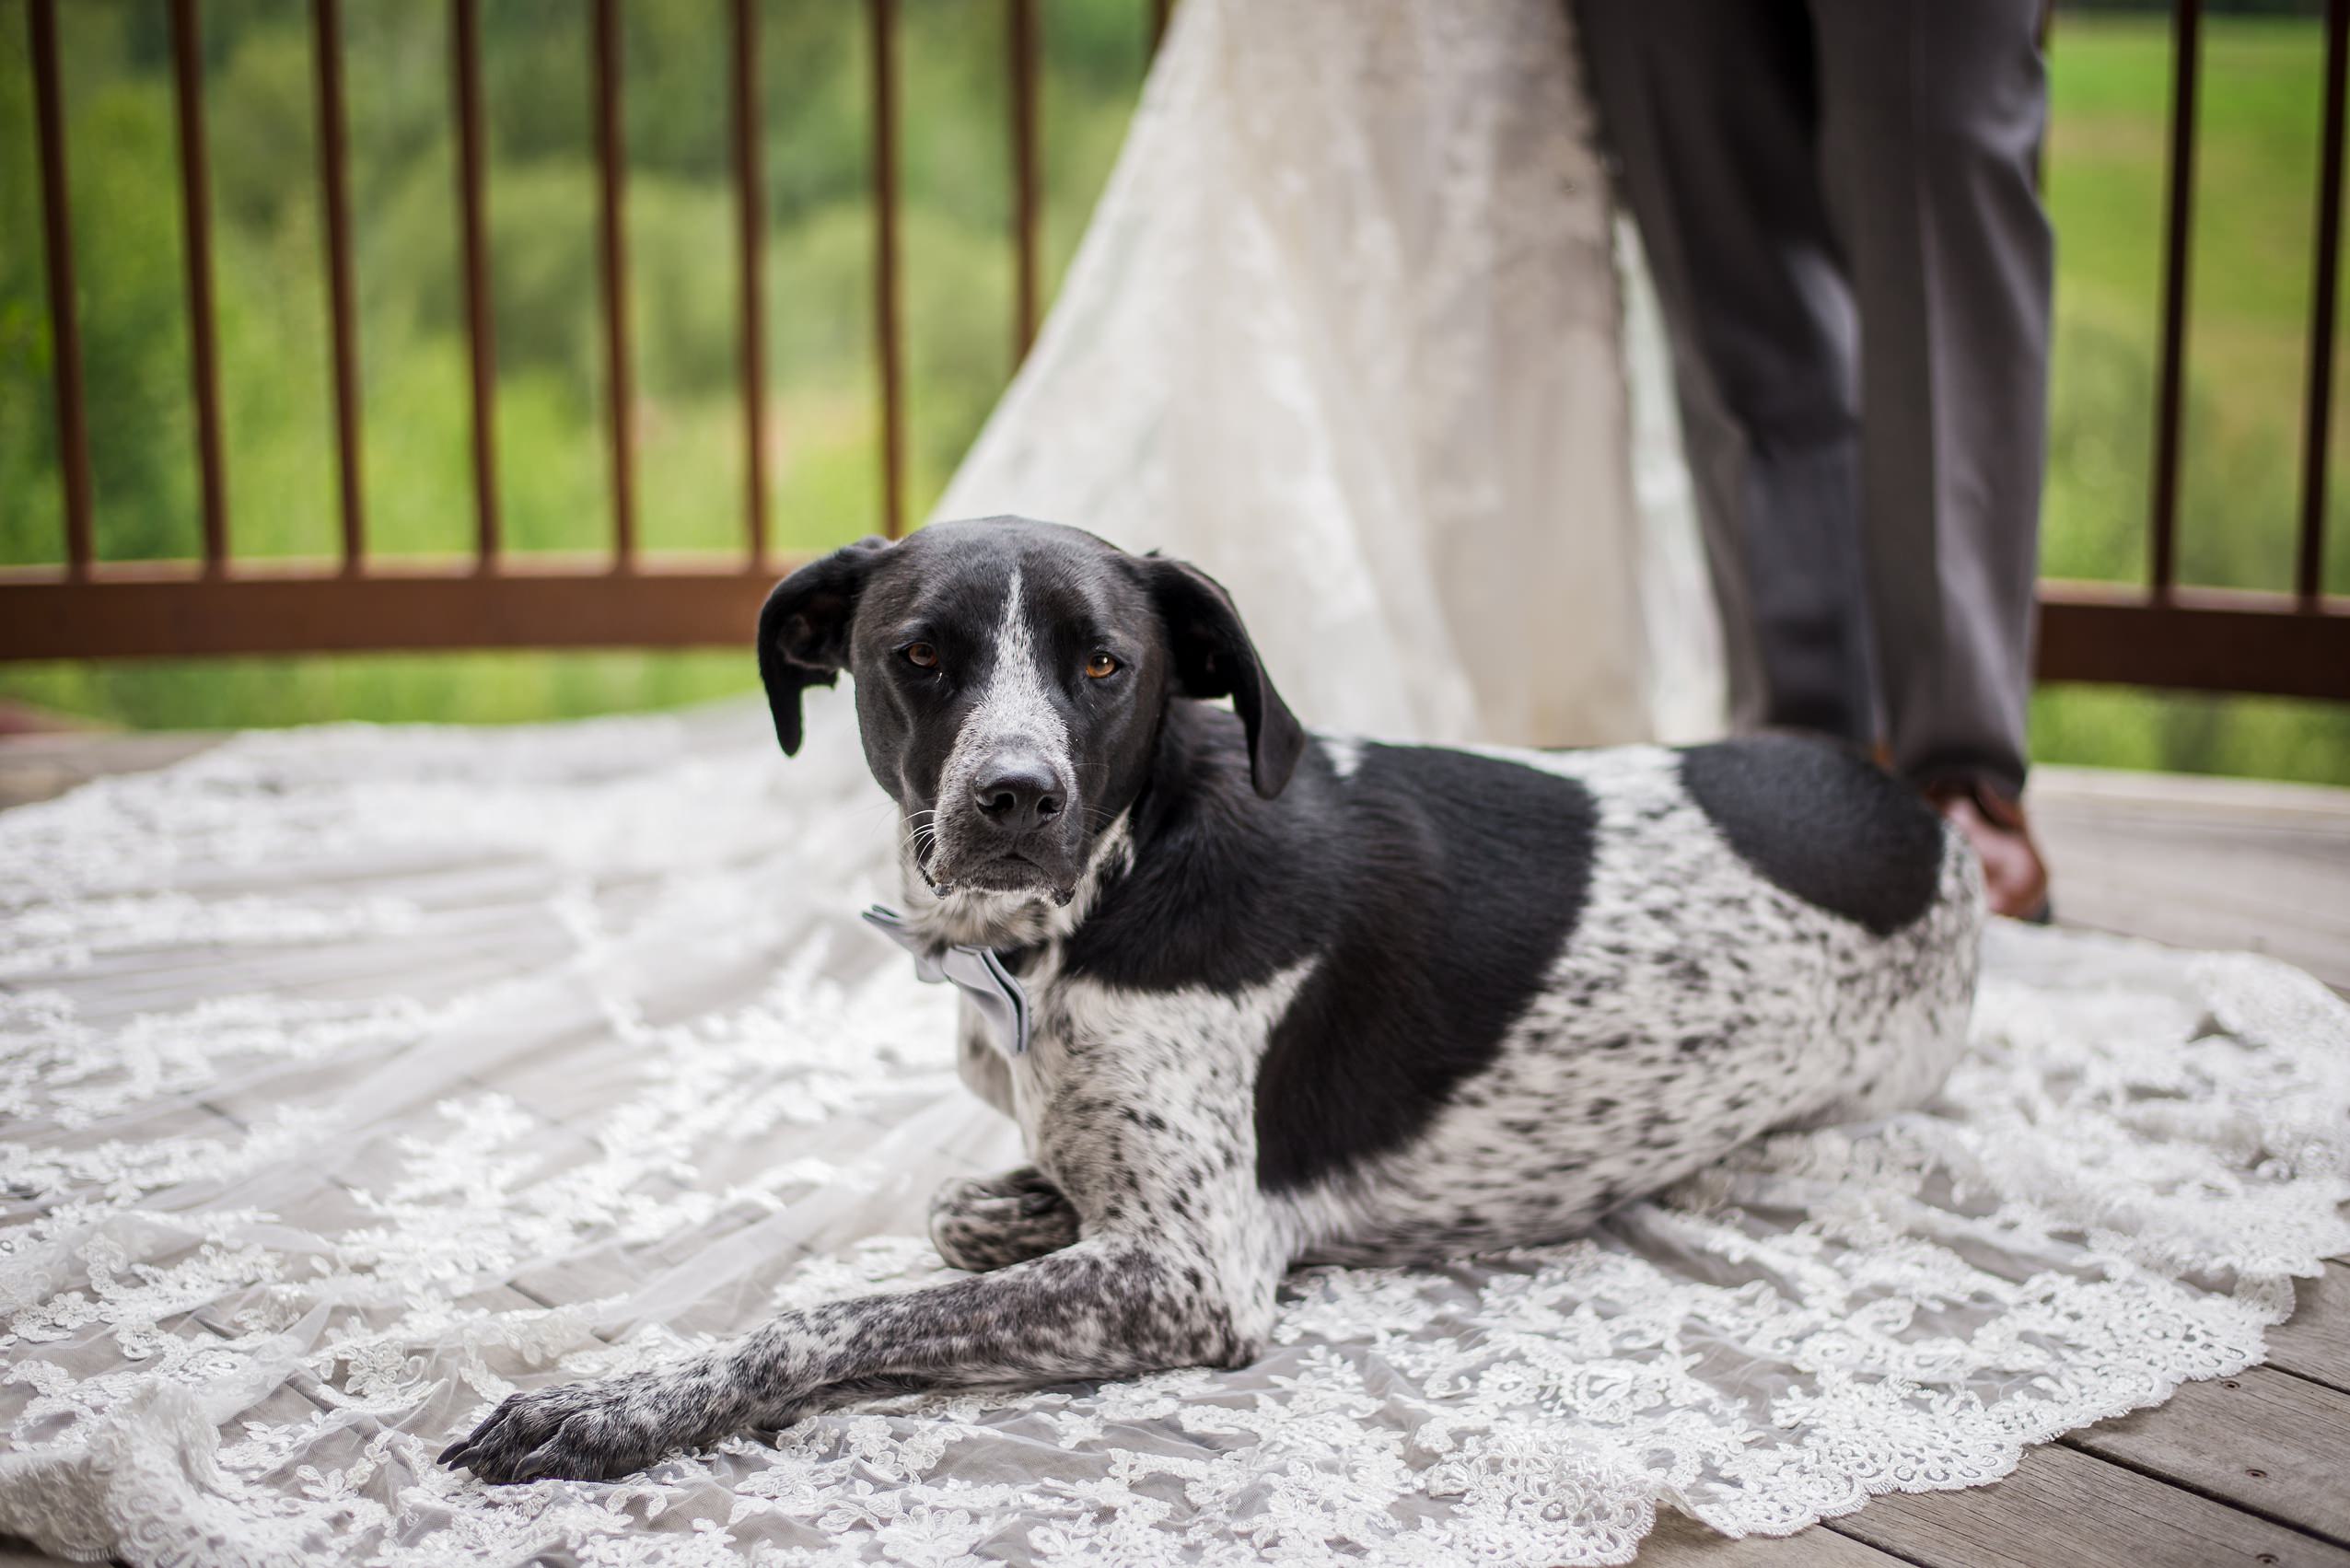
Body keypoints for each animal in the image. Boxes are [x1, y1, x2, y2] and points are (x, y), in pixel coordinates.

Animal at [444, 515, 1983, 1485]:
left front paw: (611, 1404)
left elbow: (836, 1314)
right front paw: (1018, 1200)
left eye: (1104, 661)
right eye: (921, 654)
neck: (1088, 908)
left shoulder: (1188, 1272)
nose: (1016, 797)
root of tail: (1928, 820)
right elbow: (956, 1207)